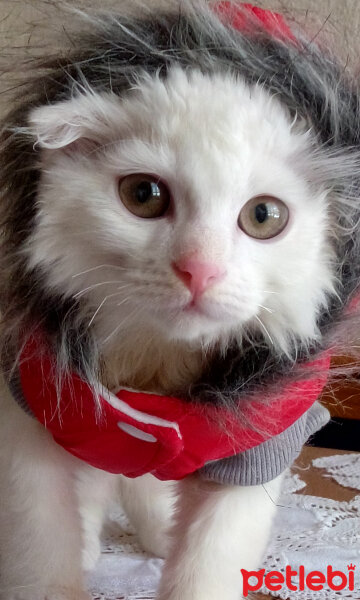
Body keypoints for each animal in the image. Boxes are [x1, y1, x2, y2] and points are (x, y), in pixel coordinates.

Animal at [0, 1, 360, 600]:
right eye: (143, 196)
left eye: (264, 216)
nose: (199, 269)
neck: (154, 372)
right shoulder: (34, 409)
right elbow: (41, 553)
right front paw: (67, 568)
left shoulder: (258, 440)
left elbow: (205, 567)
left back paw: (157, 536)